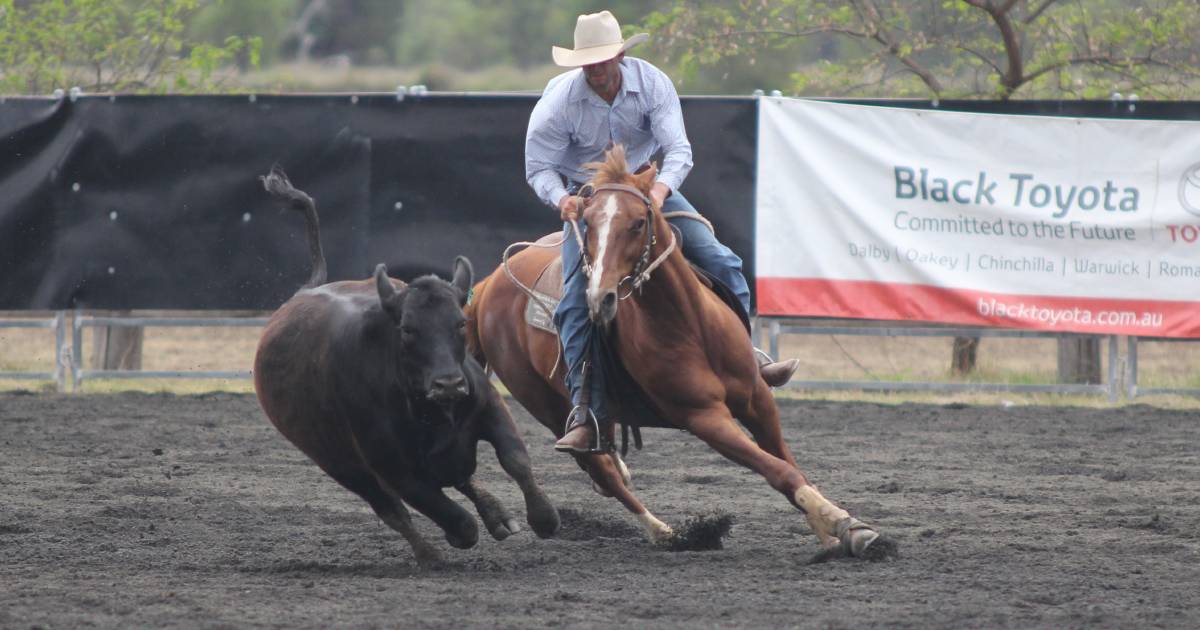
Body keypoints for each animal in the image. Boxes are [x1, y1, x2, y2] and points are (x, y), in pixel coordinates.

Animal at [463, 146, 888, 554]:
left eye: (638, 222)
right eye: (588, 223)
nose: (600, 298)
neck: (691, 326)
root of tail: (489, 285)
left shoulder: (758, 400)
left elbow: (788, 461)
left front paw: (830, 530)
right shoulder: (704, 417)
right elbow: (778, 470)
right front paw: (848, 527)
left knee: (607, 459)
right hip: (544, 404)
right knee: (602, 472)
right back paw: (666, 532)